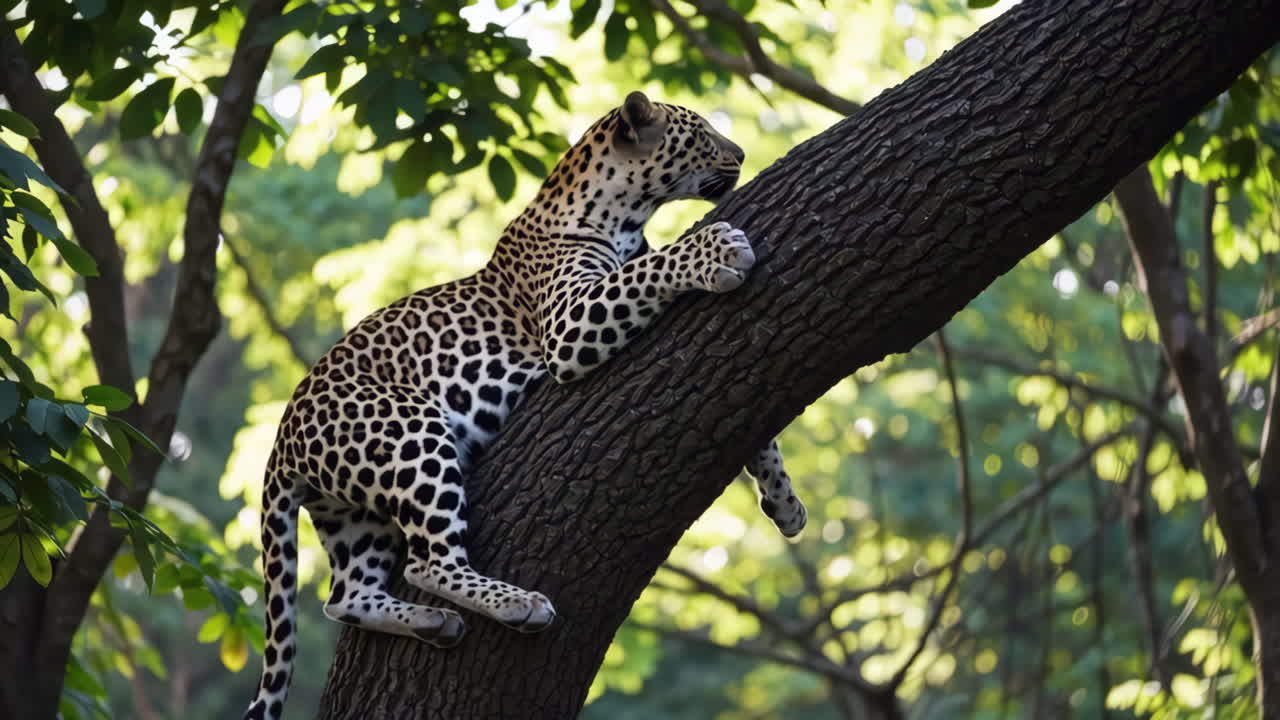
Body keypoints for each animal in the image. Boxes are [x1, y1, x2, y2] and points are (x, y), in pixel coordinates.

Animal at [243, 91, 807, 720]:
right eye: (702, 133)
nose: (740, 154)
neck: (622, 213)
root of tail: (281, 441)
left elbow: (759, 435)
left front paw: (785, 503)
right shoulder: (571, 323)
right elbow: (647, 269)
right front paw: (715, 249)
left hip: (354, 515)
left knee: (345, 596)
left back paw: (431, 622)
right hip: (409, 430)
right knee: (427, 561)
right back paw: (516, 604)